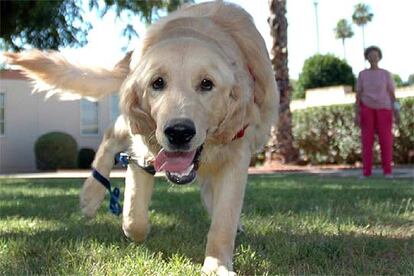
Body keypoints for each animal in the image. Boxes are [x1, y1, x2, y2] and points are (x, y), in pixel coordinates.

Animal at [4, 1, 278, 274]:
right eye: (157, 83)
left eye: (207, 84)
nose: (179, 132)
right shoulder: (143, 149)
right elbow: (134, 214)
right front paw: (135, 230)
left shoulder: (237, 155)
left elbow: (224, 219)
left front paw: (217, 264)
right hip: (129, 121)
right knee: (110, 136)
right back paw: (91, 195)